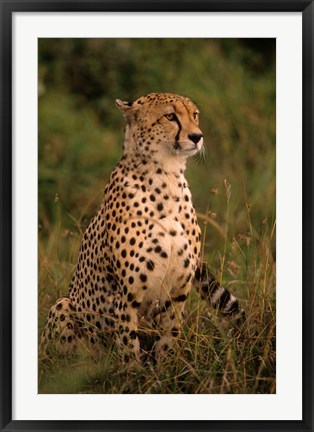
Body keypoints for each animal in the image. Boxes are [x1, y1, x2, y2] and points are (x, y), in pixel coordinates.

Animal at [41, 93, 243, 362]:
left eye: (195, 115)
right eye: (170, 116)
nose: (197, 136)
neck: (167, 177)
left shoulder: (177, 292)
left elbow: (169, 338)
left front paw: (164, 368)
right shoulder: (127, 295)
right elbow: (128, 345)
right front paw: (133, 370)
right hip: (64, 306)